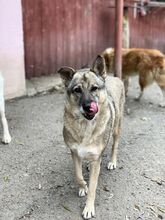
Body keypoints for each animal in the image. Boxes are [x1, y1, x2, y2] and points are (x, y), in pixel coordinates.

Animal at [58, 55, 124, 219]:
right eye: (77, 90)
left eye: (94, 88)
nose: (89, 107)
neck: (85, 125)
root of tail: (113, 77)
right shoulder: (74, 153)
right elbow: (78, 175)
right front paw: (83, 187)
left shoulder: (96, 160)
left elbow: (93, 187)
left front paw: (88, 208)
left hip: (116, 130)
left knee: (114, 146)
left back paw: (112, 162)